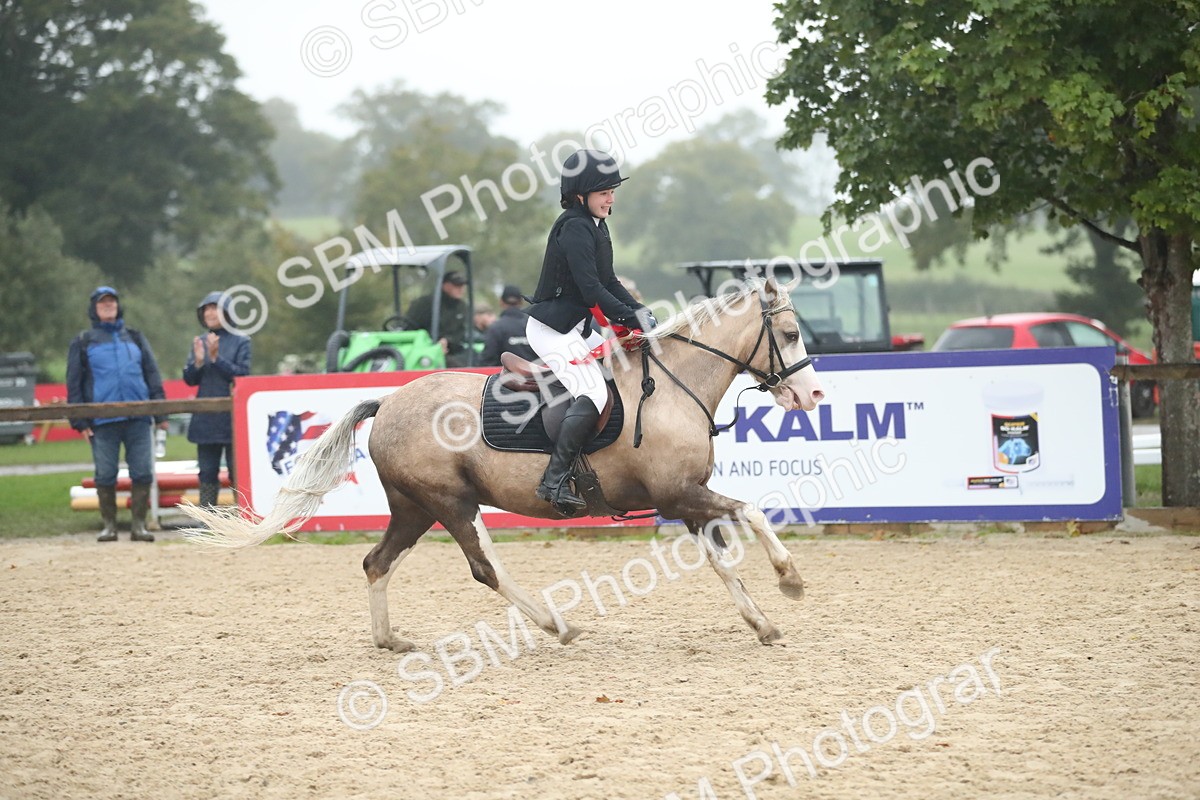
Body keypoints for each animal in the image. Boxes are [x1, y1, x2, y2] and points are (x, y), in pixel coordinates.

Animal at [182, 278, 825, 648]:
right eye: (792, 333)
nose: (814, 395)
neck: (669, 386)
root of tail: (388, 400)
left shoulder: (686, 497)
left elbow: (723, 562)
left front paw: (762, 623)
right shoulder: (678, 494)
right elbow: (753, 512)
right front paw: (791, 581)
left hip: (414, 508)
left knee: (375, 562)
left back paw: (390, 641)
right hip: (451, 503)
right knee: (484, 568)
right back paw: (556, 625)